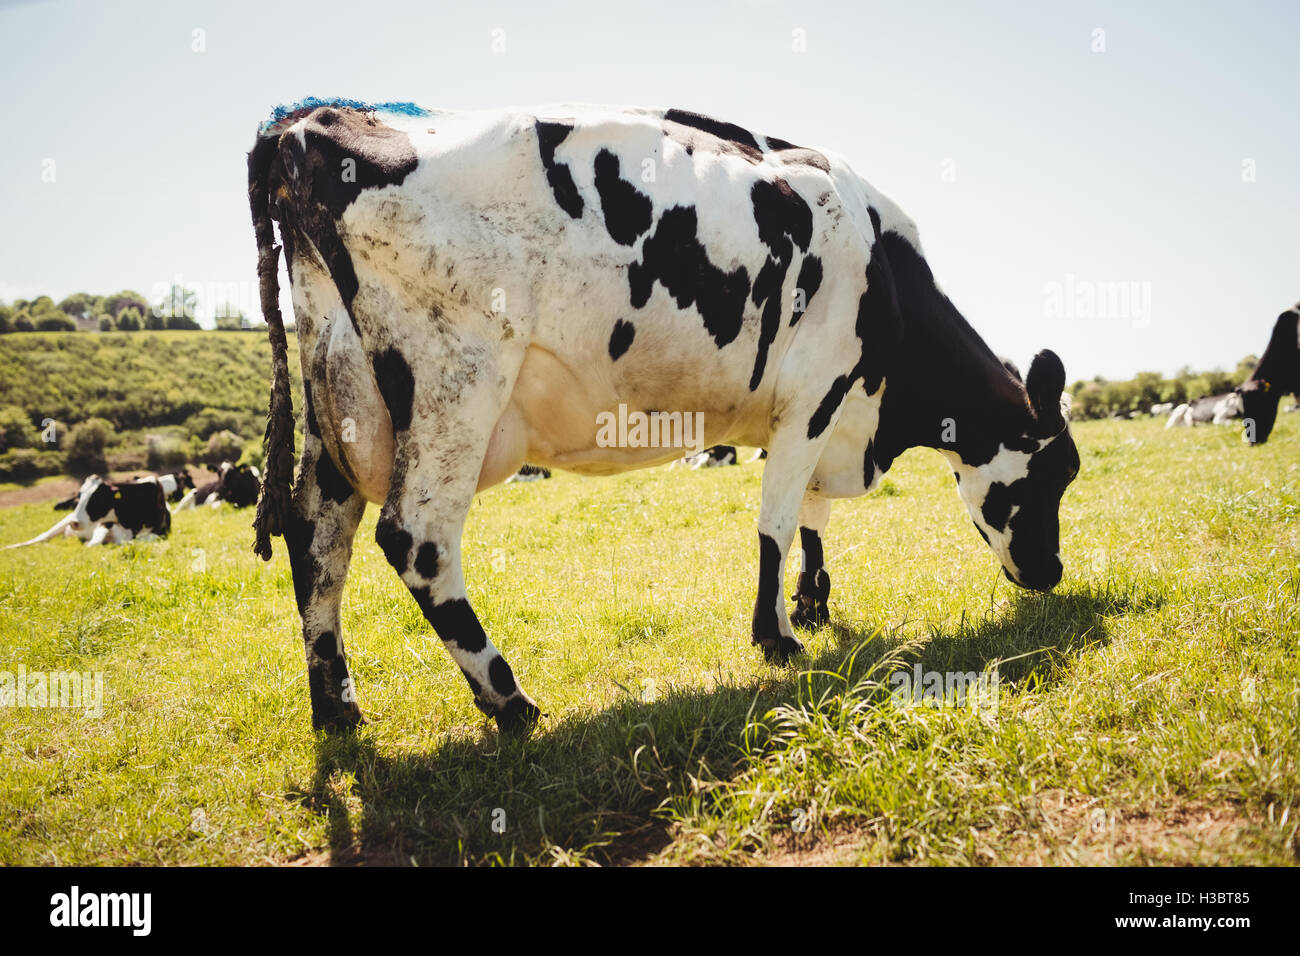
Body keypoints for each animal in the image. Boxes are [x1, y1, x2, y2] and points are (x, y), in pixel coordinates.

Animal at [4, 476, 170, 548]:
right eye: (79, 496)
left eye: (98, 498)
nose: (74, 523)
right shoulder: (104, 524)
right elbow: (93, 543)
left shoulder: (159, 533)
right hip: (63, 521)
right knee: (42, 537)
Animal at [248, 100, 1081, 738]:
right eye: (1057, 472)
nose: (1052, 572)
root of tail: (308, 121)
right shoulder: (816, 392)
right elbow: (779, 521)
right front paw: (777, 636)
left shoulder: (828, 410)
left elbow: (812, 516)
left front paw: (812, 606)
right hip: (456, 381)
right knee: (415, 537)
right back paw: (508, 698)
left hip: (338, 400)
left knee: (318, 539)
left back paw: (338, 709)